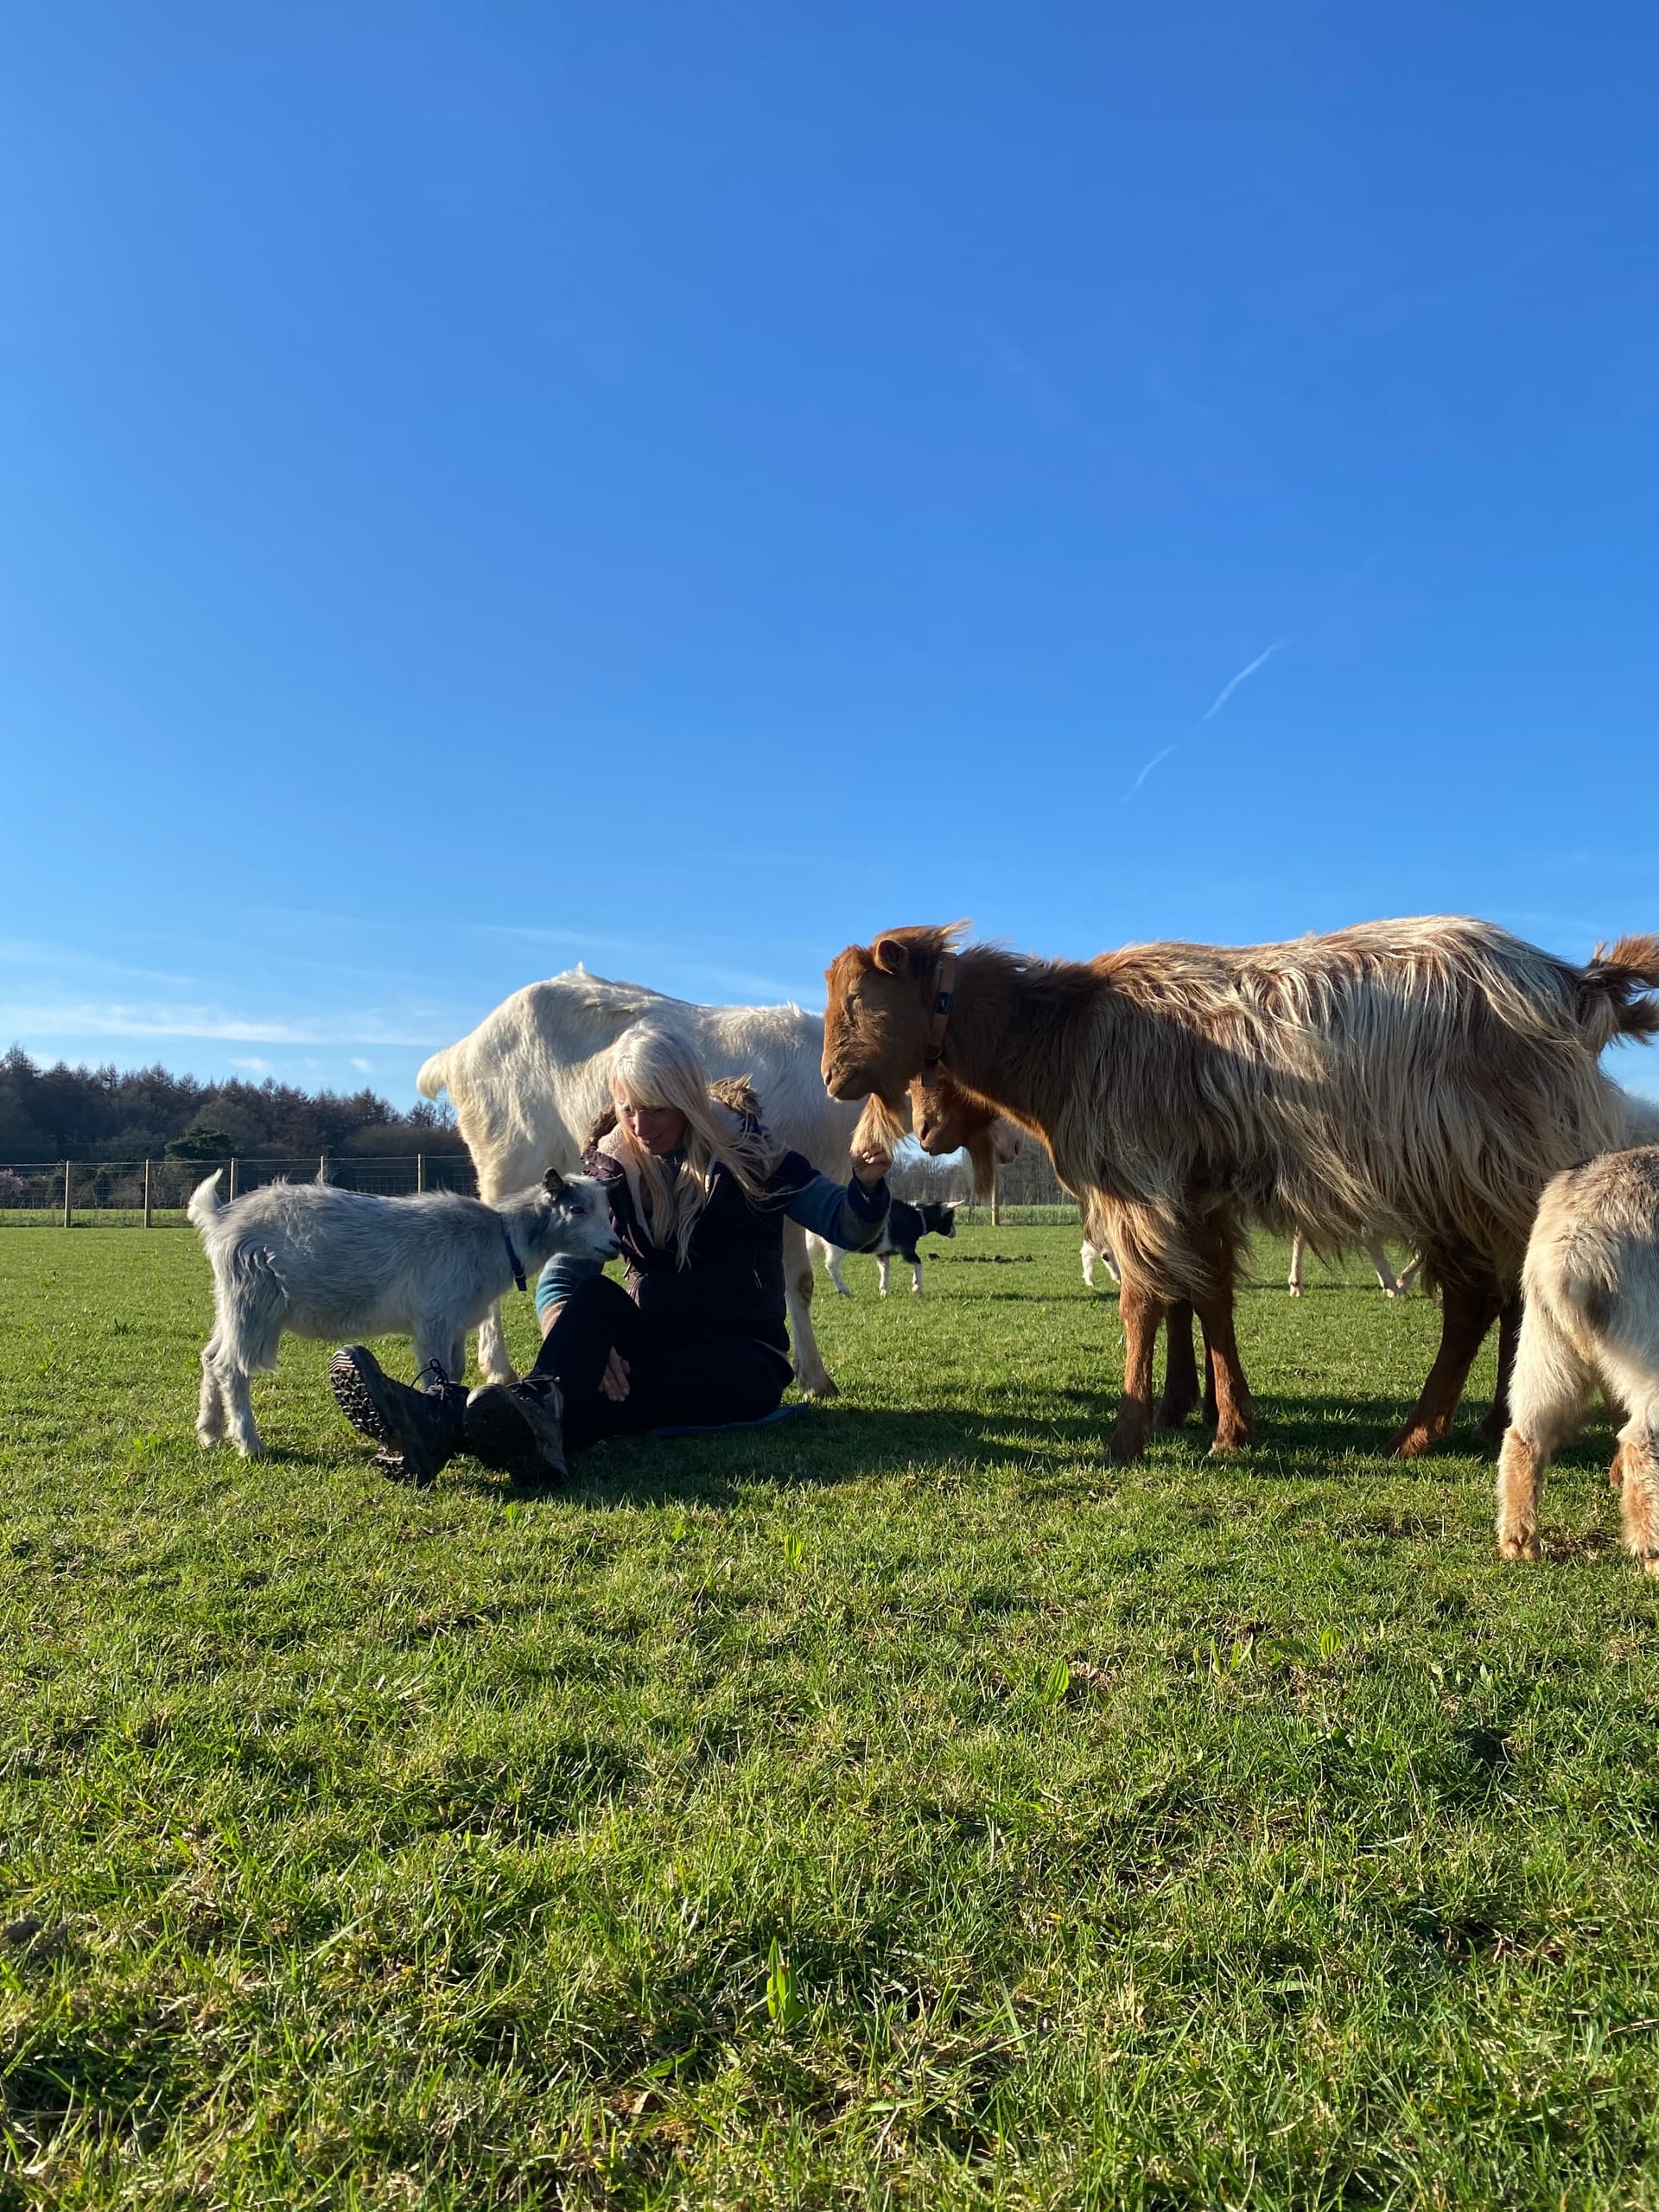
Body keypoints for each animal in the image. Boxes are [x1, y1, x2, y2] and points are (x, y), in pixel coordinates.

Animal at [190, 1168, 617, 1459]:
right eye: (577, 1208)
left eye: (607, 1208)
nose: (614, 1244)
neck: (497, 1238)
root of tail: (221, 1219)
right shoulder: (434, 1319)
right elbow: (436, 1373)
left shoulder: (456, 1323)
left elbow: (455, 1371)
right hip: (254, 1301)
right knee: (232, 1367)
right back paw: (249, 1443)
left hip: (231, 1303)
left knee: (211, 1357)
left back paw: (210, 1432)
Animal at [822, 918, 1659, 1463]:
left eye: (860, 1001)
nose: (831, 1079)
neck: (1064, 1038)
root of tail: (1575, 984)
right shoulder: (1198, 1192)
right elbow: (1210, 1299)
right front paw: (1224, 1424)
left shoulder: (1140, 1180)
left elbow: (1144, 1302)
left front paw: (1130, 1433)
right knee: (1495, 1299)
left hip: (1468, 1171)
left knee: (1481, 1302)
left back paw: (1423, 1433)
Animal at [1496, 1145, 1659, 1571]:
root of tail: (1578, 1234)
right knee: (1641, 1441)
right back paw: (1652, 1552)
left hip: (1544, 1347)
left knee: (1524, 1436)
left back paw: (1519, 1542)